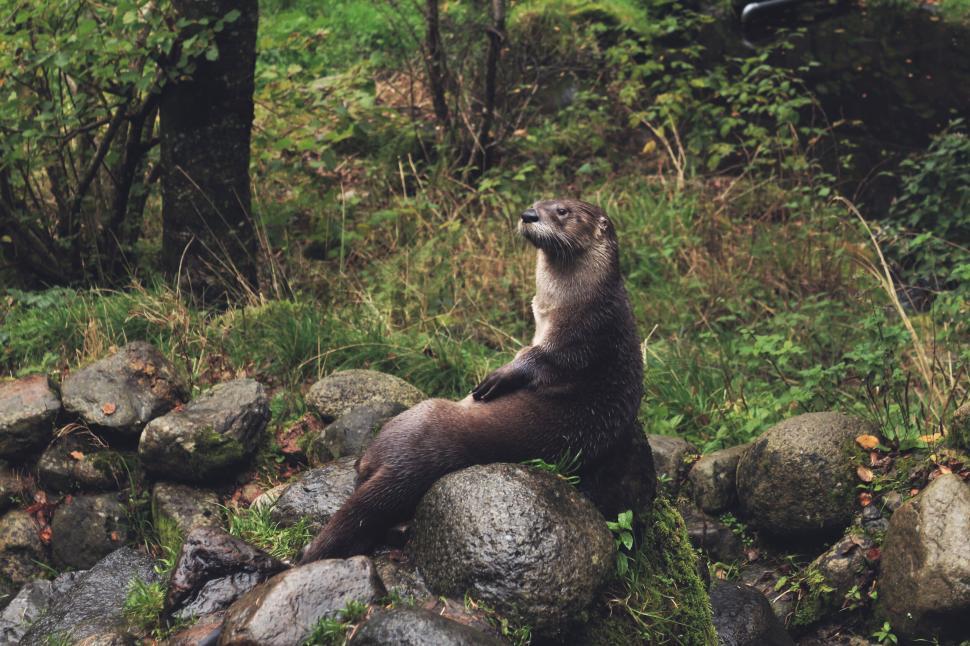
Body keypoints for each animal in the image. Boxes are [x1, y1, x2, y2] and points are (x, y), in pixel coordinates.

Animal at [299, 198, 645, 563]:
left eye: (562, 211)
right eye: (537, 203)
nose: (528, 215)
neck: (579, 300)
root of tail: (404, 466)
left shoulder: (582, 337)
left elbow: (538, 360)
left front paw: (498, 377)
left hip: (416, 416)